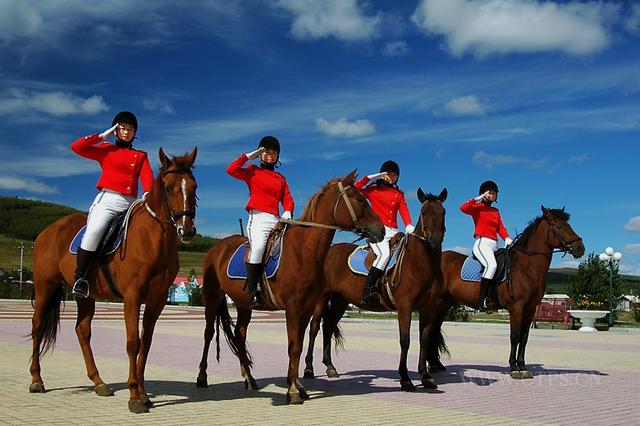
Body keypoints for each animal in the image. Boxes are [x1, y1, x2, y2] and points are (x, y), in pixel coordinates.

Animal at [28, 149, 204, 412]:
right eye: (168, 187)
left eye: (193, 186)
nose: (187, 230)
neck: (153, 239)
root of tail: (47, 231)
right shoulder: (132, 297)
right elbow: (133, 342)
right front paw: (134, 396)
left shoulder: (157, 300)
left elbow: (146, 343)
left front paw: (143, 393)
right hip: (45, 286)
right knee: (37, 325)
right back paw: (36, 380)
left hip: (85, 295)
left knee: (82, 331)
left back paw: (99, 382)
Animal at [196, 171, 384, 404]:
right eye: (359, 199)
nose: (381, 230)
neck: (305, 250)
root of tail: (218, 247)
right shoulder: (293, 307)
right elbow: (293, 347)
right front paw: (293, 391)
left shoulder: (306, 308)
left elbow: (299, 345)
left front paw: (298, 386)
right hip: (213, 298)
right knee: (208, 333)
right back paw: (202, 377)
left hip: (244, 304)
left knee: (240, 335)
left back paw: (249, 379)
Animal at [304, 188, 444, 392]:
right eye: (424, 212)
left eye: (443, 212)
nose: (434, 240)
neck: (420, 262)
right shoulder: (405, 306)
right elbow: (405, 340)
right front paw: (405, 379)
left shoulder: (428, 308)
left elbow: (424, 340)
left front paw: (425, 376)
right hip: (322, 299)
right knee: (314, 328)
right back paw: (308, 369)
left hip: (340, 301)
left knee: (328, 326)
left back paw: (330, 367)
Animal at [420, 207, 584, 380]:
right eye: (559, 226)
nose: (581, 248)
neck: (527, 266)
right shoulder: (517, 307)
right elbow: (515, 336)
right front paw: (514, 367)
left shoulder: (530, 309)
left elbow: (524, 338)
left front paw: (522, 366)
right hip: (436, 303)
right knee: (431, 331)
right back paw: (433, 366)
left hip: (445, 304)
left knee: (434, 330)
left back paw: (436, 365)